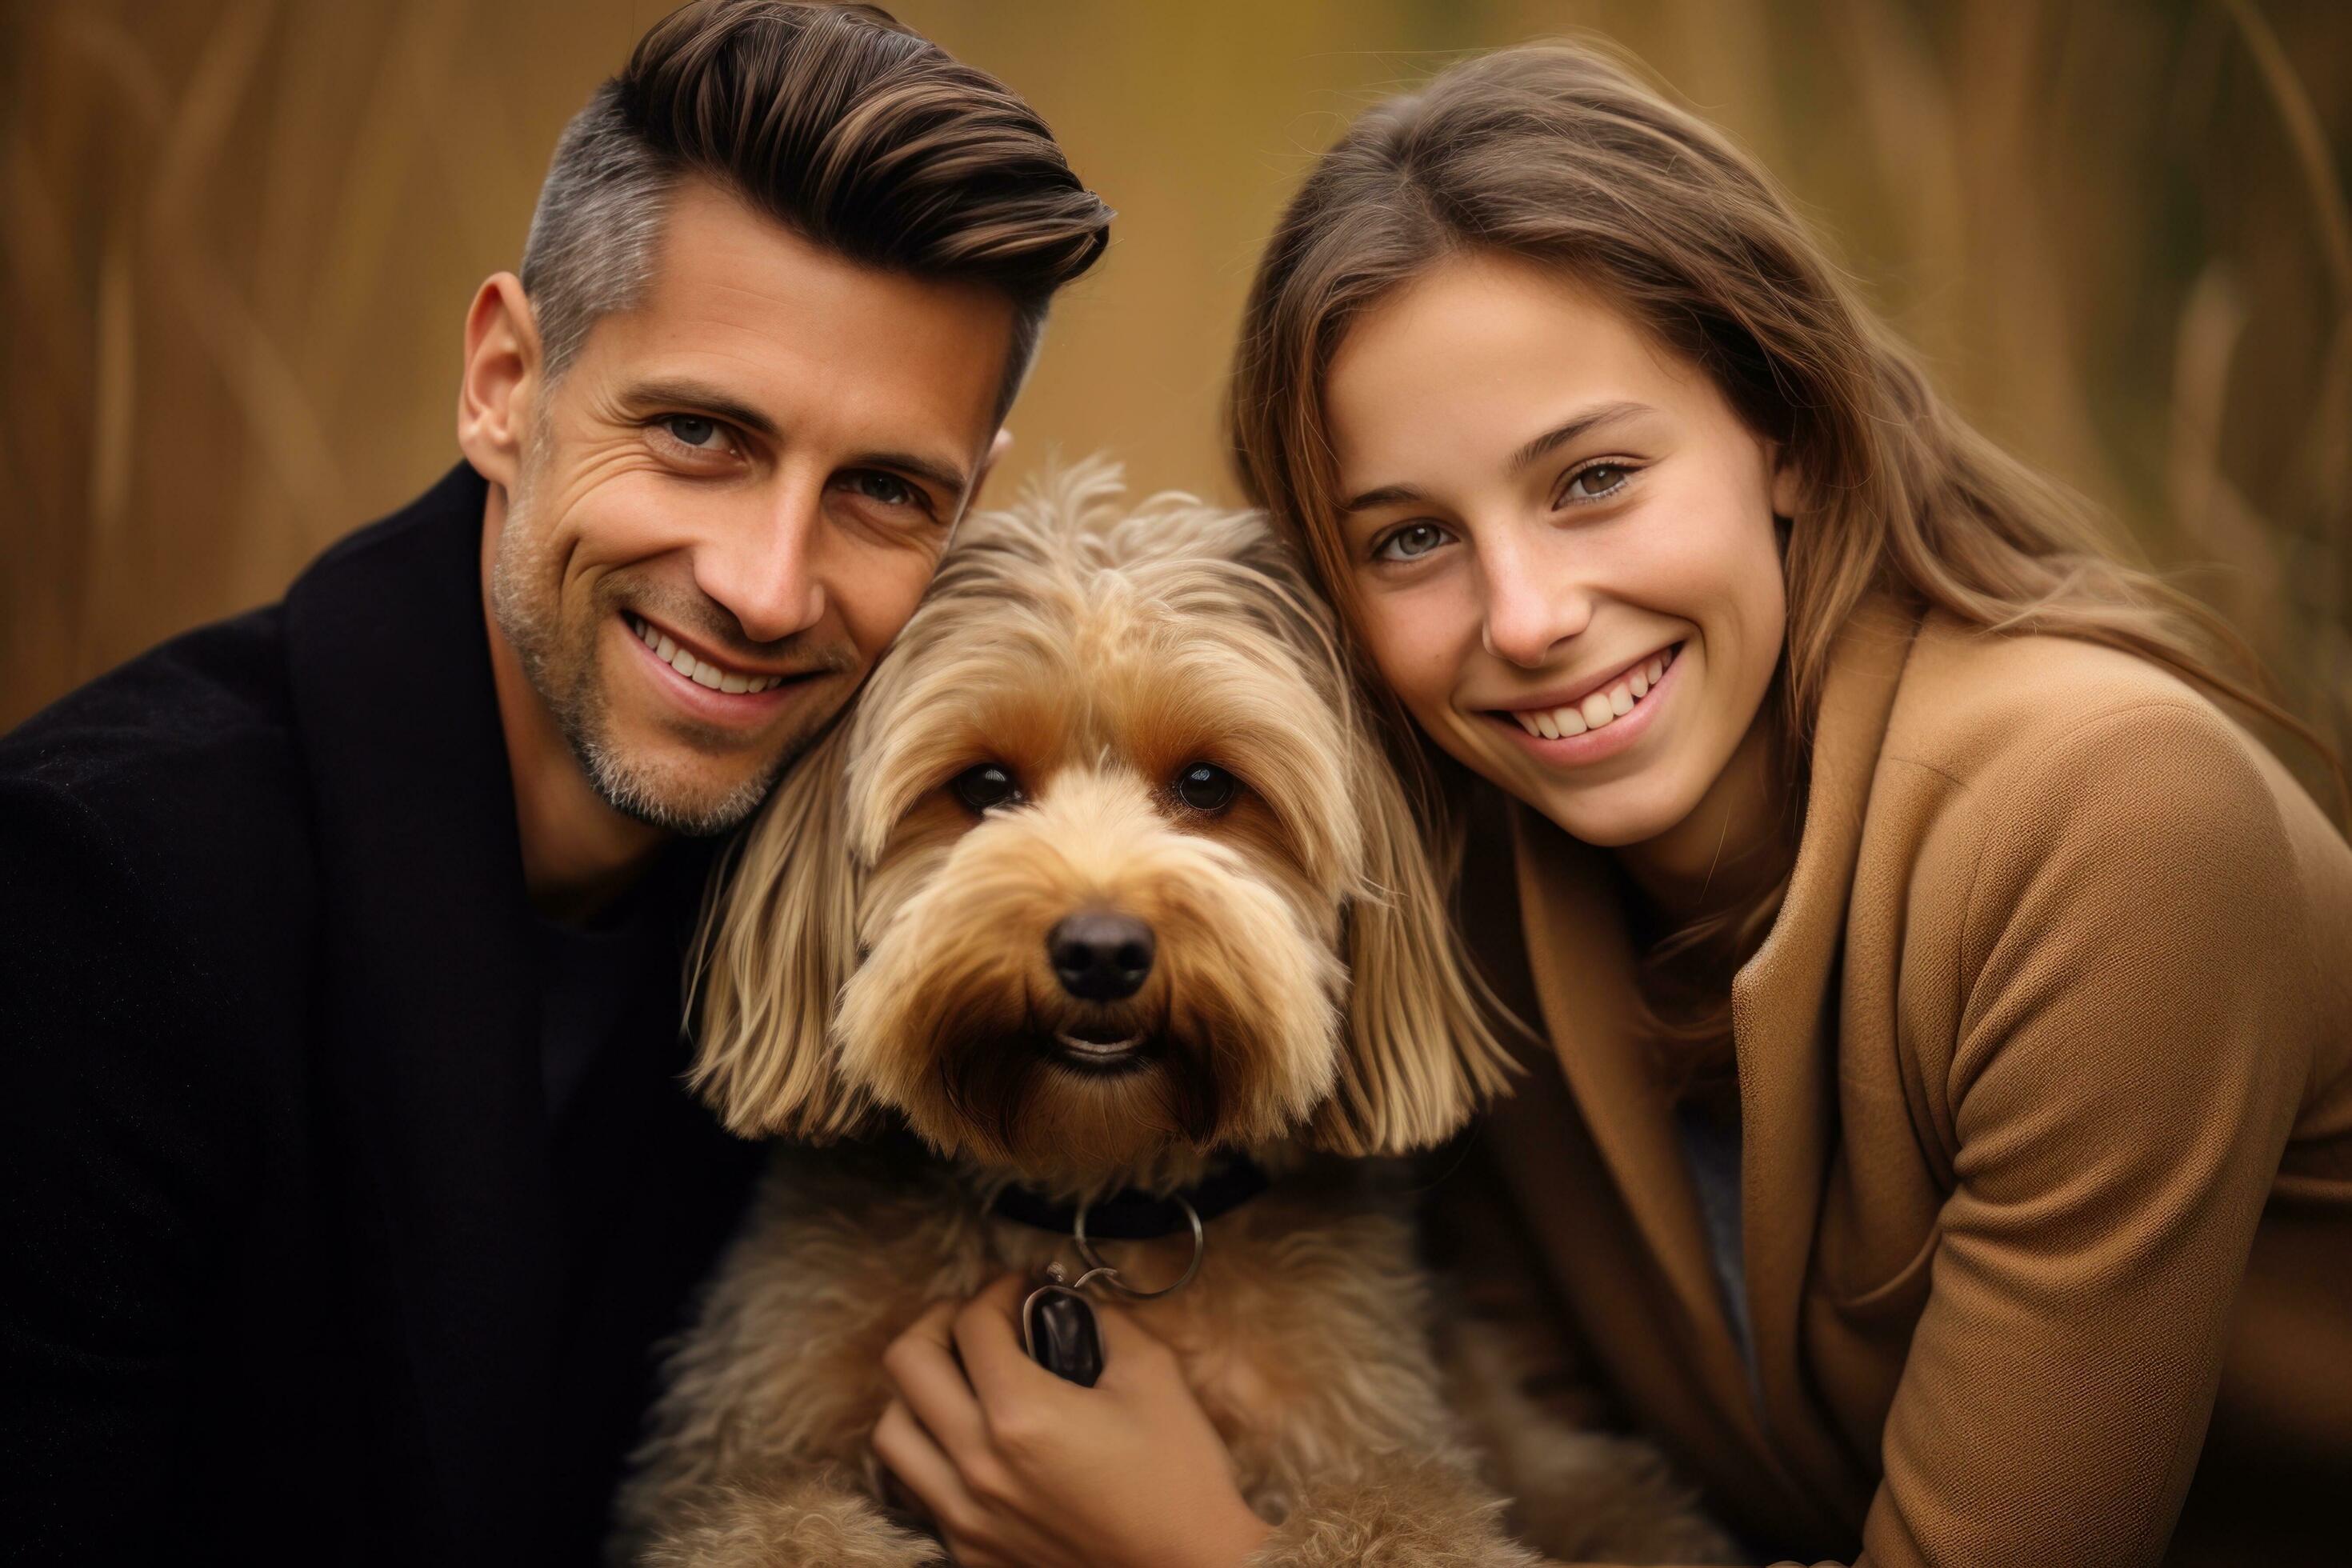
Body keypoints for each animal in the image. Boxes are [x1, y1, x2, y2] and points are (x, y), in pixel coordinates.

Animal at [616, 465, 1740, 1568]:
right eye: (984, 786)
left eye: (1206, 784)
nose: (1101, 951)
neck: (1091, 1200)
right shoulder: (736, 1455)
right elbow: (777, 1525)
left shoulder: (1385, 1444)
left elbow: (1390, 1520)